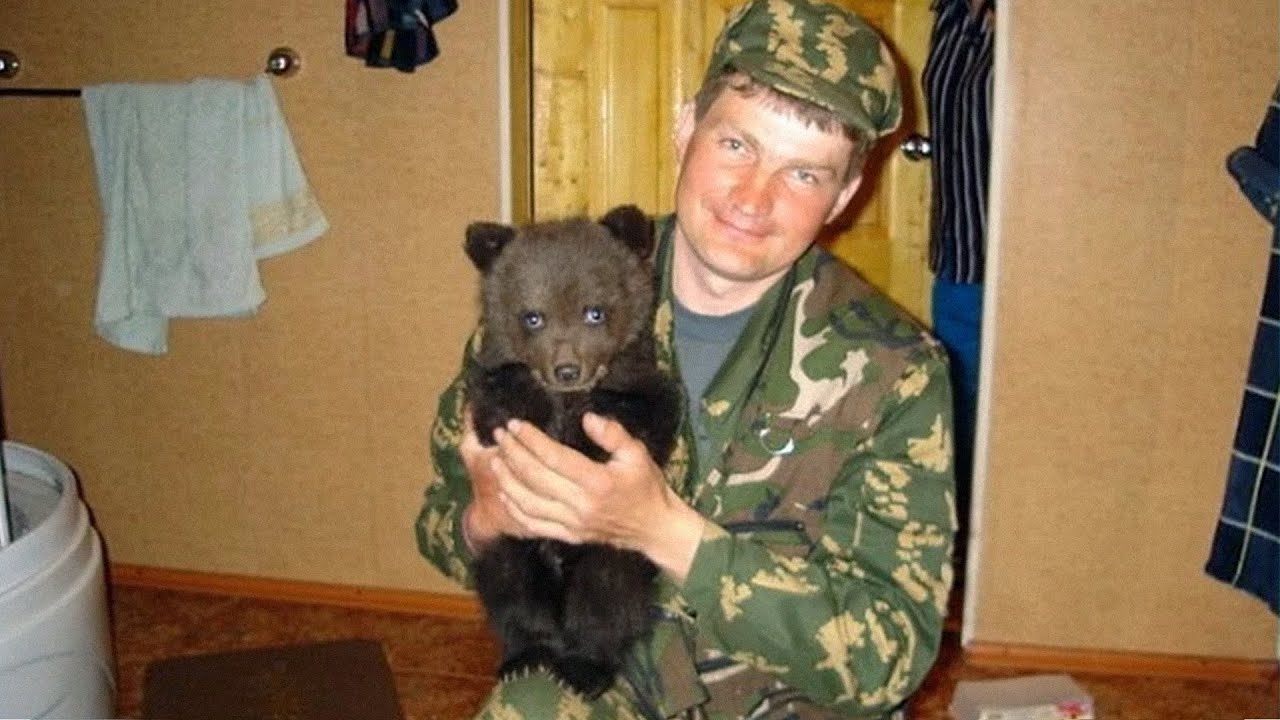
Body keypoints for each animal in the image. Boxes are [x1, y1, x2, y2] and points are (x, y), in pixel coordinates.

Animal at [462, 204, 682, 699]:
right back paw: (527, 654)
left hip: (612, 554)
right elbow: (497, 402)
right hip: (509, 541)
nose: (566, 369)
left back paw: (584, 666)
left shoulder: (645, 384)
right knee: (511, 589)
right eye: (532, 316)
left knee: (607, 600)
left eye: (594, 311)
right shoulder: (486, 381)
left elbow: (644, 415)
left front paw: (588, 432)